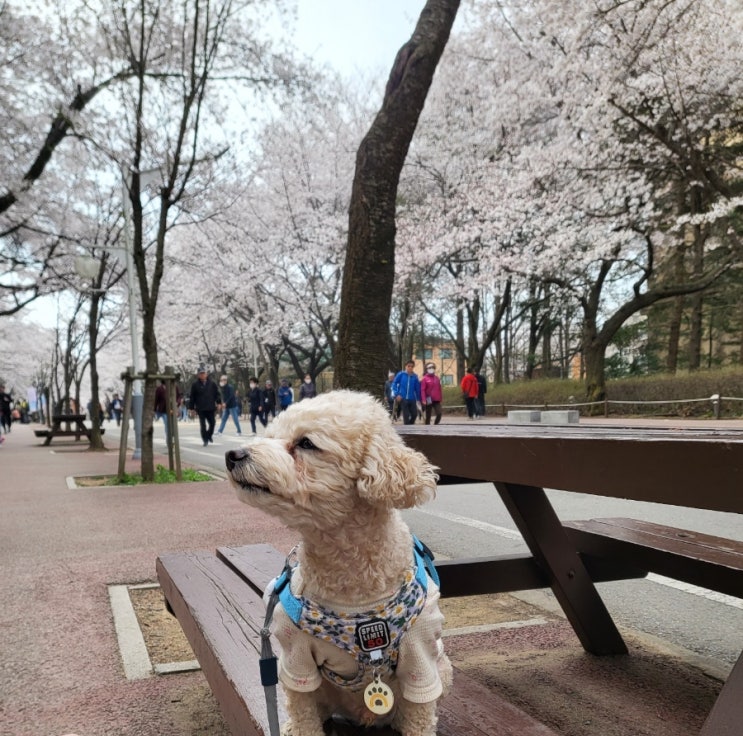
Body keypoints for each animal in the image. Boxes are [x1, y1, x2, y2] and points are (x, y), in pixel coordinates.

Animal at [227, 388, 450, 732]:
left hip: (443, 667)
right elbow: (303, 715)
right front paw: (298, 728)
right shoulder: (296, 658)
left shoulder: (421, 656)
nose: (233, 454)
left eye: (306, 443)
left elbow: (420, 718)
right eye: (271, 436)